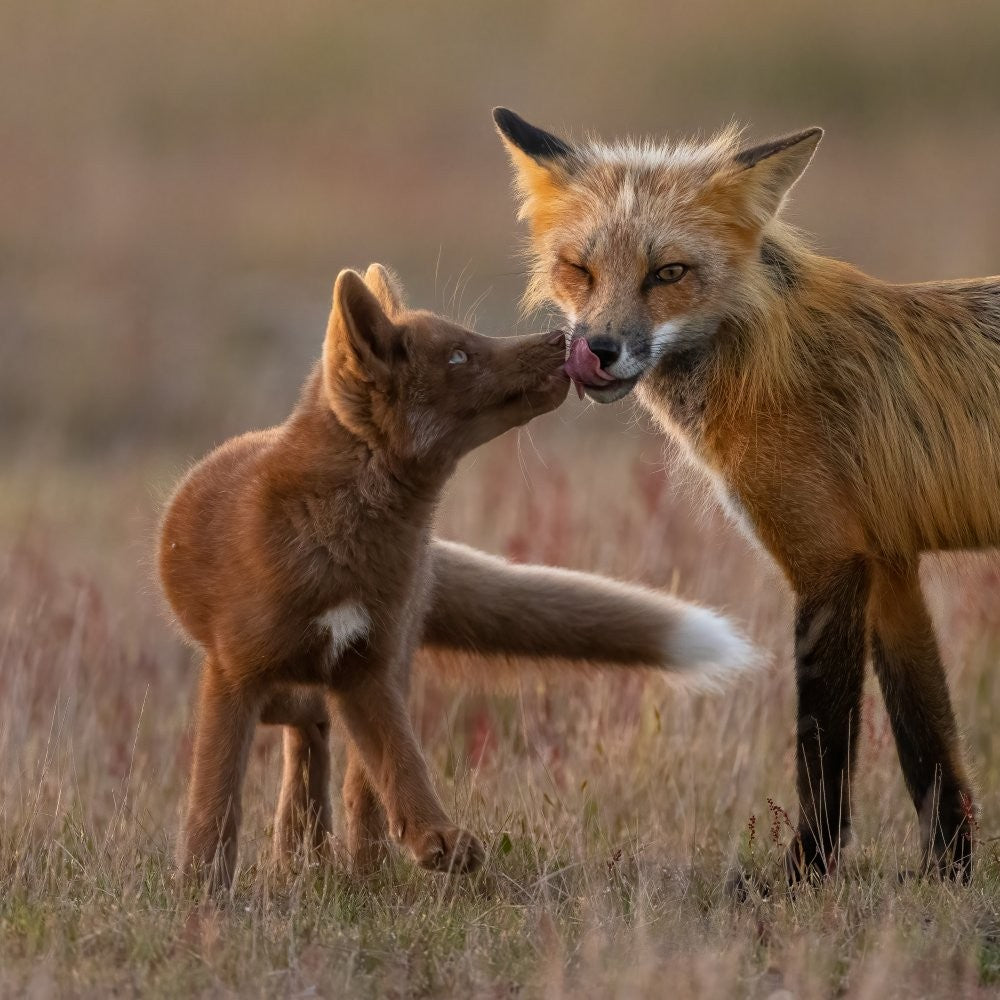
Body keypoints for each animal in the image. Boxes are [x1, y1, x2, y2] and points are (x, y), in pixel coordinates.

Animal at [158, 263, 755, 889]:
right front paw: (202, 885)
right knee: (307, 734)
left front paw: (433, 839)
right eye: (459, 356)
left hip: (377, 667)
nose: (562, 339)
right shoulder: (235, 674)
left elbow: (401, 767)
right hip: (287, 678)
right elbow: (216, 798)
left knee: (342, 767)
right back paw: (304, 853)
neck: (337, 549)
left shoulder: (366, 669)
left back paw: (350, 865)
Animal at [492, 106, 1000, 882]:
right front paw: (949, 875)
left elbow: (823, 744)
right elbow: (929, 744)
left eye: (669, 272)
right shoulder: (890, 564)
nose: (599, 349)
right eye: (579, 269)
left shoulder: (827, 561)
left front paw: (805, 874)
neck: (766, 360)